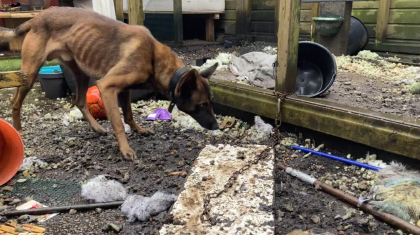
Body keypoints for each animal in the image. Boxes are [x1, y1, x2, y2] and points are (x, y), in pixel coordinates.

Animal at [0, 7, 221, 162]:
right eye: (202, 105)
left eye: (212, 102)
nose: (217, 126)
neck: (153, 57)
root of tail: (37, 17)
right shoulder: (107, 87)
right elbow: (118, 123)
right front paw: (125, 149)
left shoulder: (123, 90)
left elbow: (129, 115)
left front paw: (139, 129)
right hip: (29, 74)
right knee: (15, 102)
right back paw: (18, 130)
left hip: (81, 72)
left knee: (80, 101)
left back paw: (96, 127)